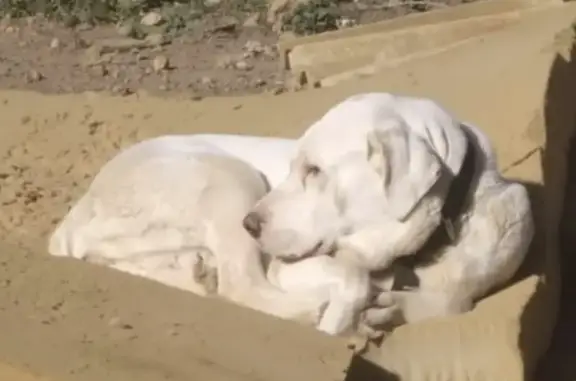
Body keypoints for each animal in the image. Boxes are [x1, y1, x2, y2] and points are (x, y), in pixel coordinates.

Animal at [244, 92, 536, 330]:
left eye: (313, 170)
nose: (248, 224)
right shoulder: (284, 269)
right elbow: (354, 277)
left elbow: (452, 301)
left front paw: (398, 307)